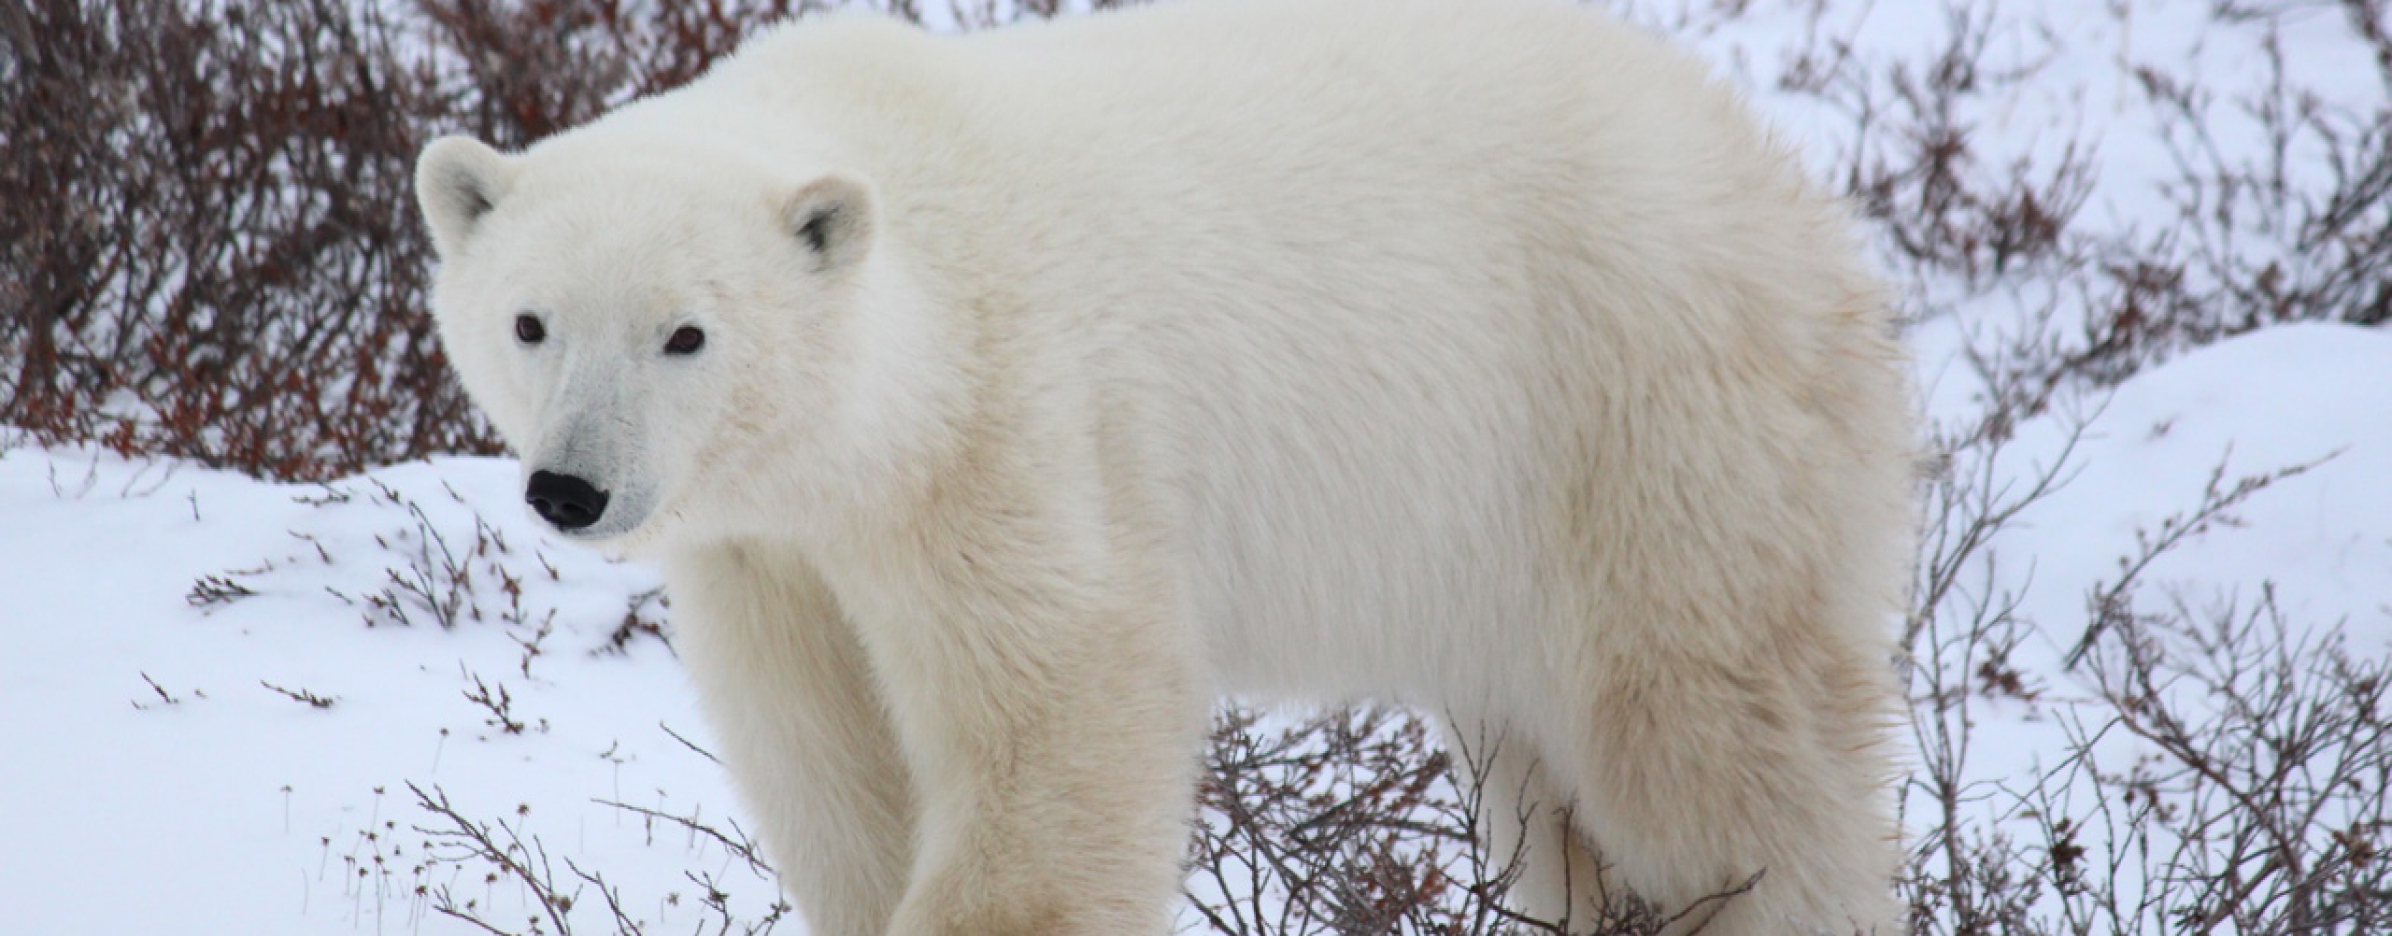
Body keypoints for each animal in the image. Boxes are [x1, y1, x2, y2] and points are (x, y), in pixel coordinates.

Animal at [412, 1, 1915, 934]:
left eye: (687, 333)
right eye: (531, 322)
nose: (571, 489)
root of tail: (1791, 194)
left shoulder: (1015, 429)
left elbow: (1058, 709)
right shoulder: (775, 557)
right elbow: (828, 762)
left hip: (1645, 423)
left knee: (1713, 750)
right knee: (1548, 803)